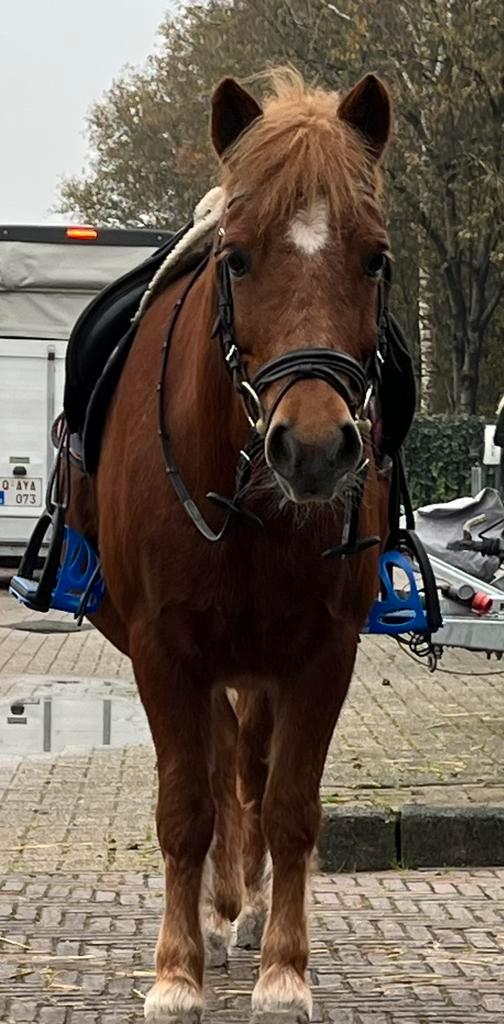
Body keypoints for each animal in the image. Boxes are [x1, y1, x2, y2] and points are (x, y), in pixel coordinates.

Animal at [68, 68, 394, 1023]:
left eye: (375, 257)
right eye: (238, 257)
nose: (315, 448)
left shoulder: (322, 652)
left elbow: (289, 806)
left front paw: (285, 969)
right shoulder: (161, 648)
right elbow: (186, 805)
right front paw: (177, 971)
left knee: (246, 769)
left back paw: (241, 910)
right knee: (217, 772)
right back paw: (214, 917)